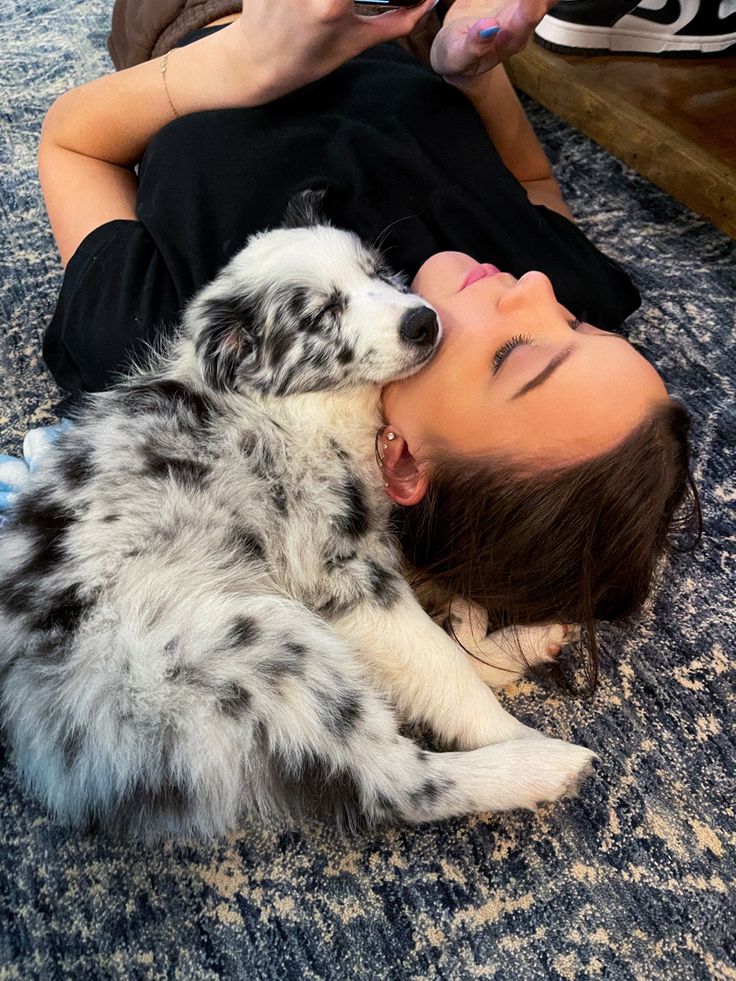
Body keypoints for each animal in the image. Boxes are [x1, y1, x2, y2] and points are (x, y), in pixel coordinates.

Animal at [0, 193, 592, 844]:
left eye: (378, 271)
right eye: (321, 315)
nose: (423, 321)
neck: (303, 408)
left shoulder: (372, 537)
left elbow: (438, 635)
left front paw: (482, 629)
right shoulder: (340, 573)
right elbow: (440, 666)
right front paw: (504, 721)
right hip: (258, 647)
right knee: (395, 784)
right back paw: (543, 763)